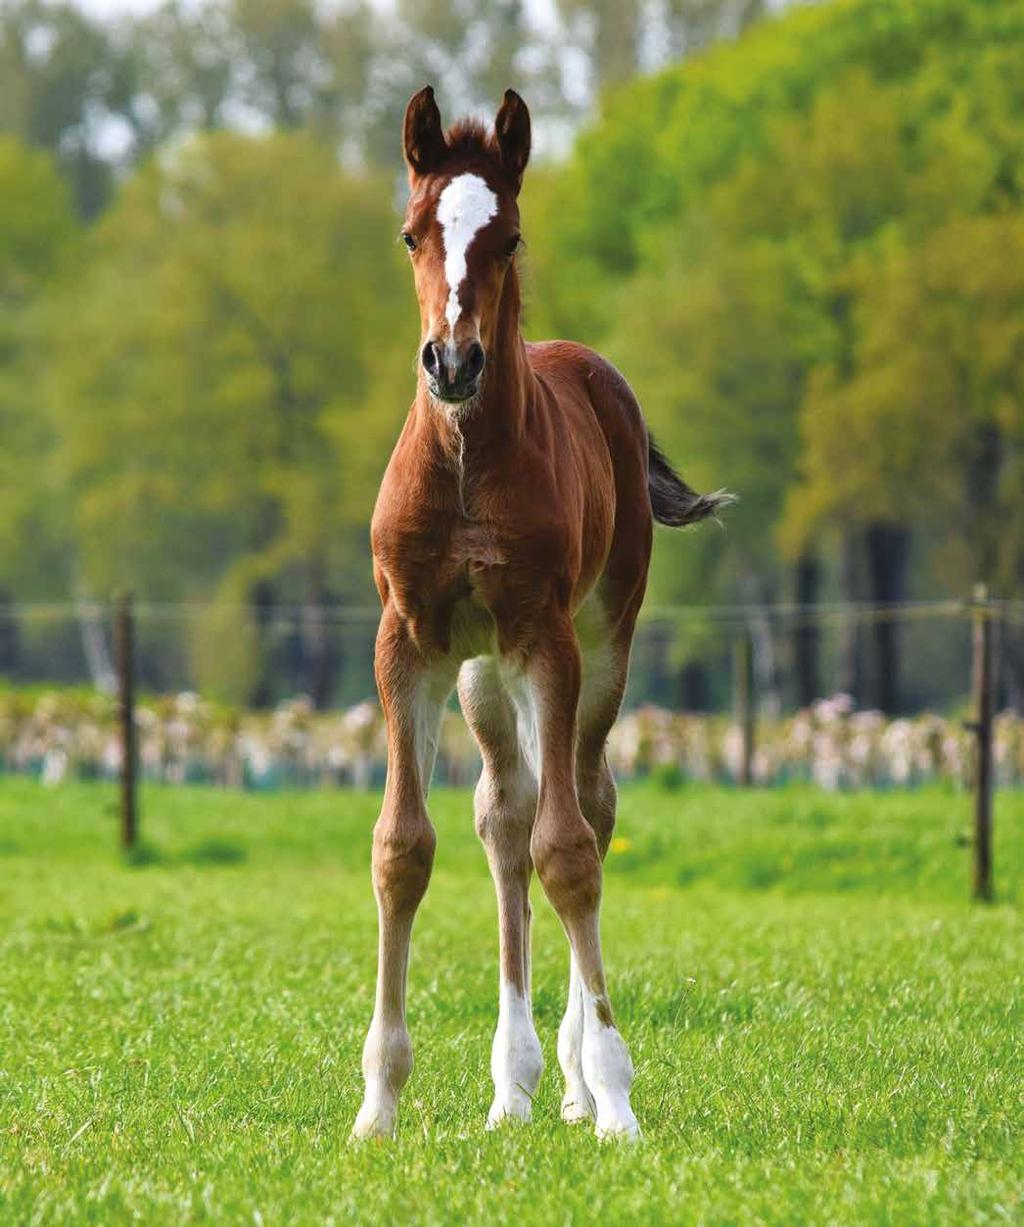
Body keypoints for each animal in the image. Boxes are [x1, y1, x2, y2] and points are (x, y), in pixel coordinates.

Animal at [355, 86, 730, 1138]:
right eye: (411, 235)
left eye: (510, 237)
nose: (452, 362)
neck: (467, 464)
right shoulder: (409, 642)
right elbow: (403, 847)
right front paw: (378, 1105)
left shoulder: (548, 640)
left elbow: (569, 853)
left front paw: (614, 1095)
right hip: (485, 674)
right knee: (505, 811)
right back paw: (512, 1085)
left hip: (599, 641)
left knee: (586, 805)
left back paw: (566, 1077)